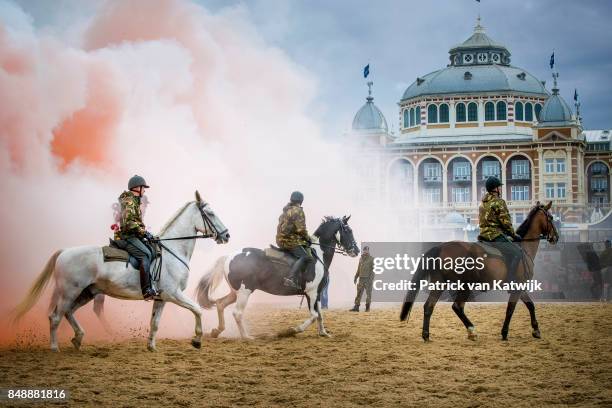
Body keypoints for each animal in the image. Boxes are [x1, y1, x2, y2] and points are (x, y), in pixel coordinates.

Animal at [13, 191, 230, 350]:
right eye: (210, 213)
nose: (227, 235)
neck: (173, 251)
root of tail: (65, 251)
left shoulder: (161, 298)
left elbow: (155, 323)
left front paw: (151, 347)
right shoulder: (173, 294)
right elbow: (197, 309)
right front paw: (197, 340)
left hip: (87, 293)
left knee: (68, 312)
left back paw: (78, 338)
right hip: (70, 291)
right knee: (56, 317)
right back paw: (55, 347)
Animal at [196, 217, 358, 338]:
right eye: (348, 230)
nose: (356, 250)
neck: (317, 256)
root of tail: (229, 256)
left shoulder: (317, 294)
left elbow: (320, 315)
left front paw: (323, 333)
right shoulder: (311, 293)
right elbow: (313, 315)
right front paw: (291, 330)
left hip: (235, 292)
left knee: (220, 304)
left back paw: (217, 331)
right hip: (244, 292)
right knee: (237, 313)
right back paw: (246, 337)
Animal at [402, 201, 560, 342]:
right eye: (551, 218)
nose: (556, 237)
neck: (523, 247)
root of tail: (441, 247)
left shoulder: (519, 287)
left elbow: (530, 305)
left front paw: (536, 330)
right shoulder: (518, 286)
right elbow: (511, 309)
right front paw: (505, 332)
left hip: (440, 283)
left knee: (429, 306)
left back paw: (426, 335)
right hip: (465, 285)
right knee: (457, 307)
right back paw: (472, 331)